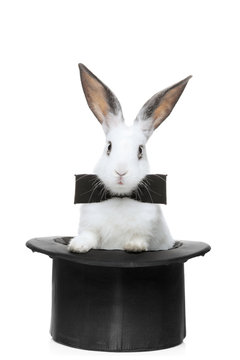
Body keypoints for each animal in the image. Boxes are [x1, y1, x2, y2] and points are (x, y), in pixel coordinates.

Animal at [68, 64, 191, 253]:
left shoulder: (148, 231)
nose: (121, 171)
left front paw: (134, 247)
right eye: (109, 147)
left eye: (140, 150)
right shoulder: (90, 228)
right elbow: (89, 236)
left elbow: (140, 238)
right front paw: (77, 246)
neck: (120, 197)